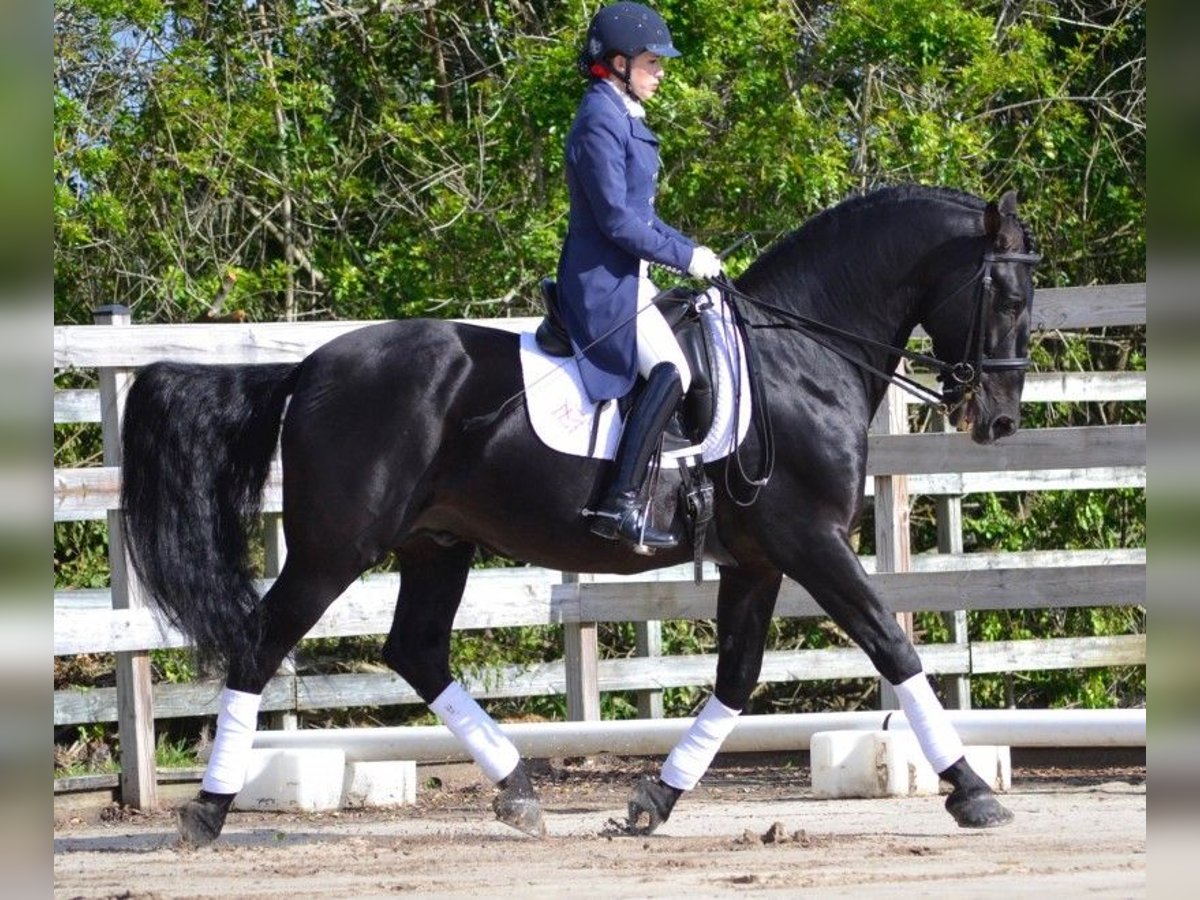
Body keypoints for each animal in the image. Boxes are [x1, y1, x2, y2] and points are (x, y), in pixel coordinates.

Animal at [119, 184, 1040, 843]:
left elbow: (736, 678)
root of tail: (307, 366)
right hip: (333, 549)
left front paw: (654, 802)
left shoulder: (756, 558)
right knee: (261, 645)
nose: (997, 422)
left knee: (415, 649)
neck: (799, 358)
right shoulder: (808, 541)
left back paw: (518, 791)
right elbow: (892, 644)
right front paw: (971, 791)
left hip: (435, 543)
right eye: (1005, 296)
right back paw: (206, 810)